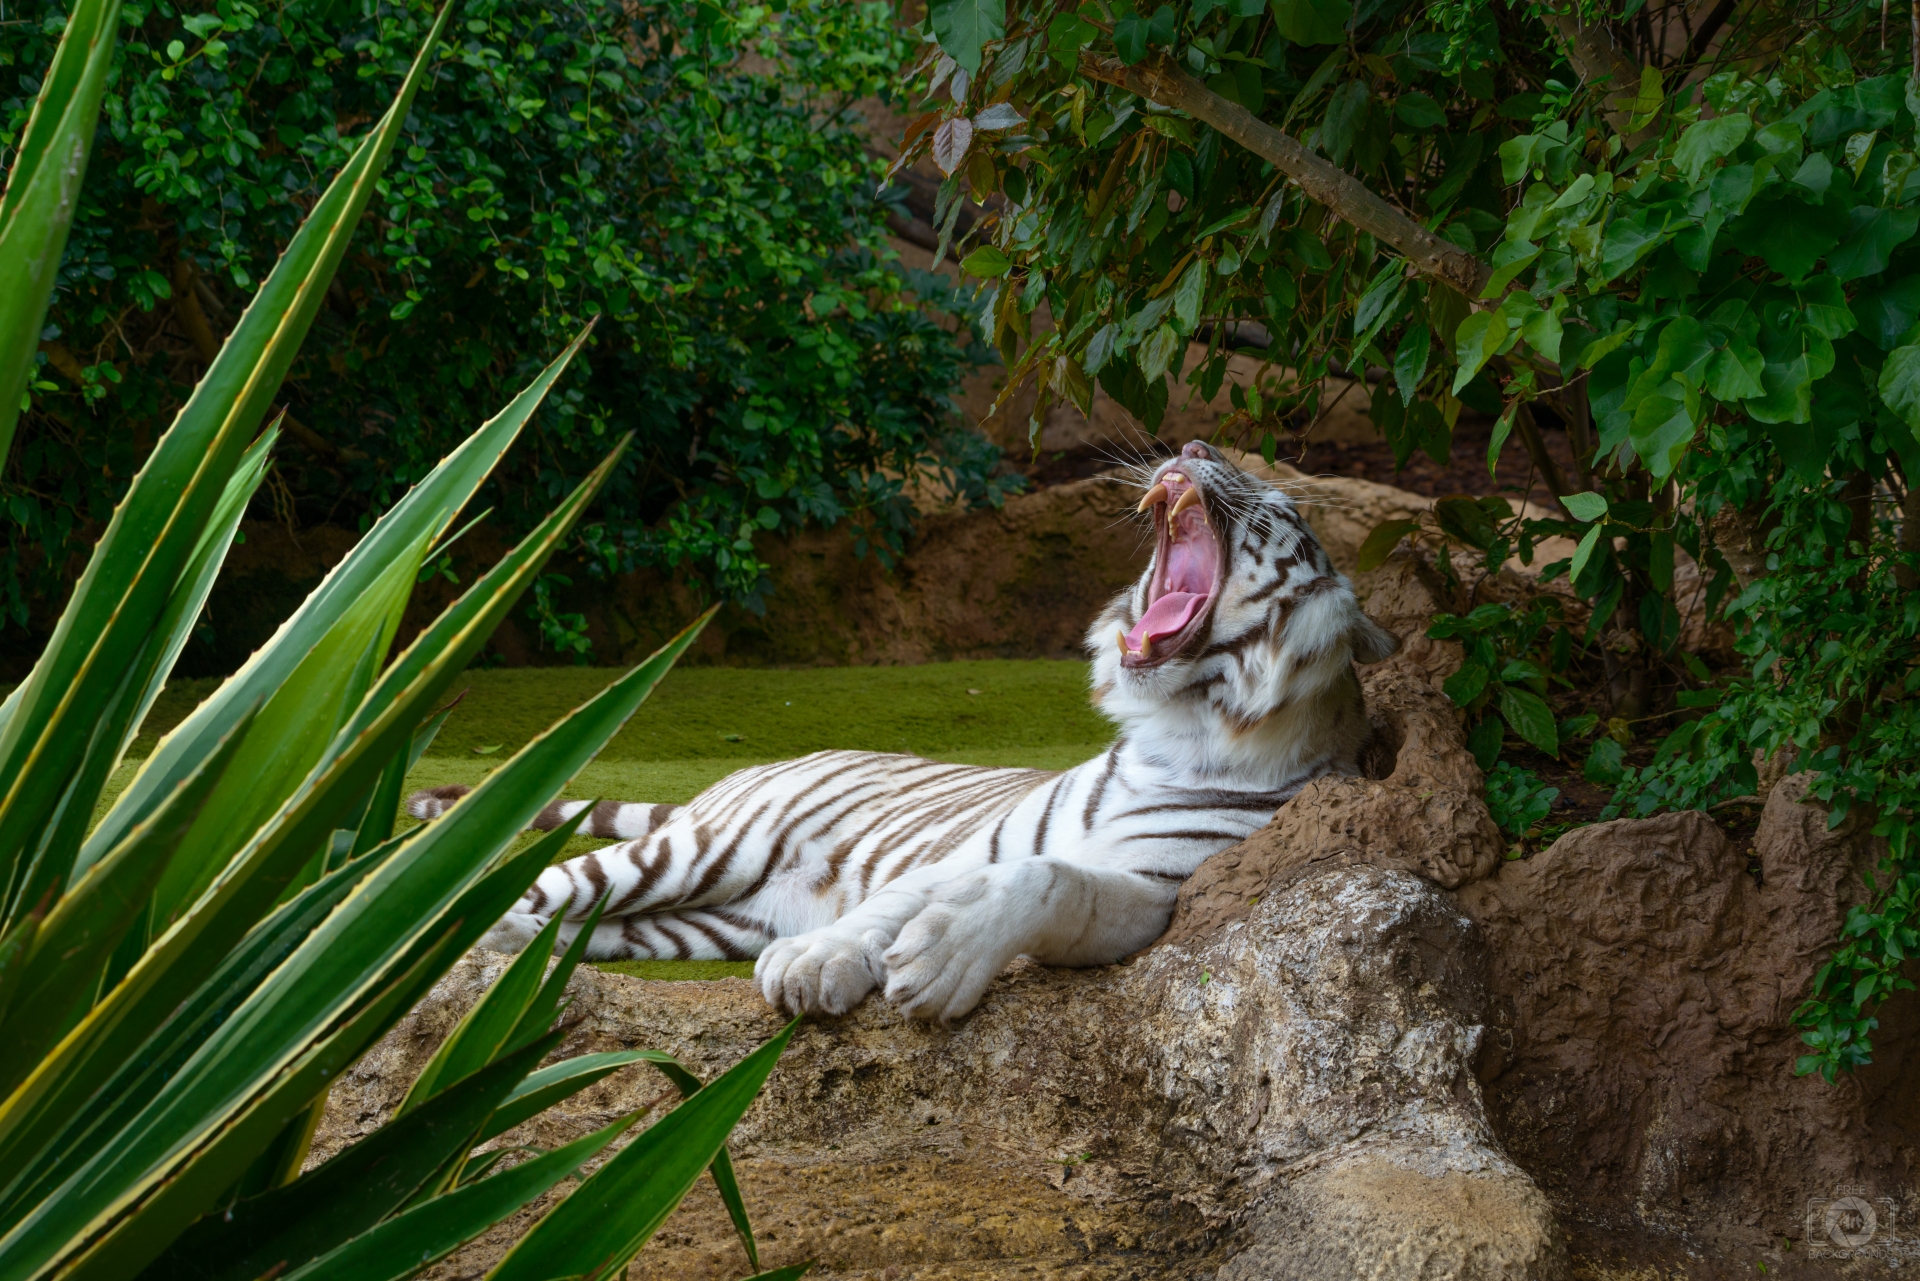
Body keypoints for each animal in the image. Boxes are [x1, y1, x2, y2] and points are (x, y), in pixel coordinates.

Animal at [408, 443, 1397, 1021]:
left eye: (1285, 513)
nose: (1194, 446)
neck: (1173, 729)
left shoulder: (1157, 893)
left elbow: (1052, 879)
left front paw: (941, 962)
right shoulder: (967, 848)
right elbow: (889, 903)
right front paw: (818, 963)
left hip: (693, 924)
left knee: (584, 922)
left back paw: (507, 951)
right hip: (699, 850)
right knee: (539, 885)